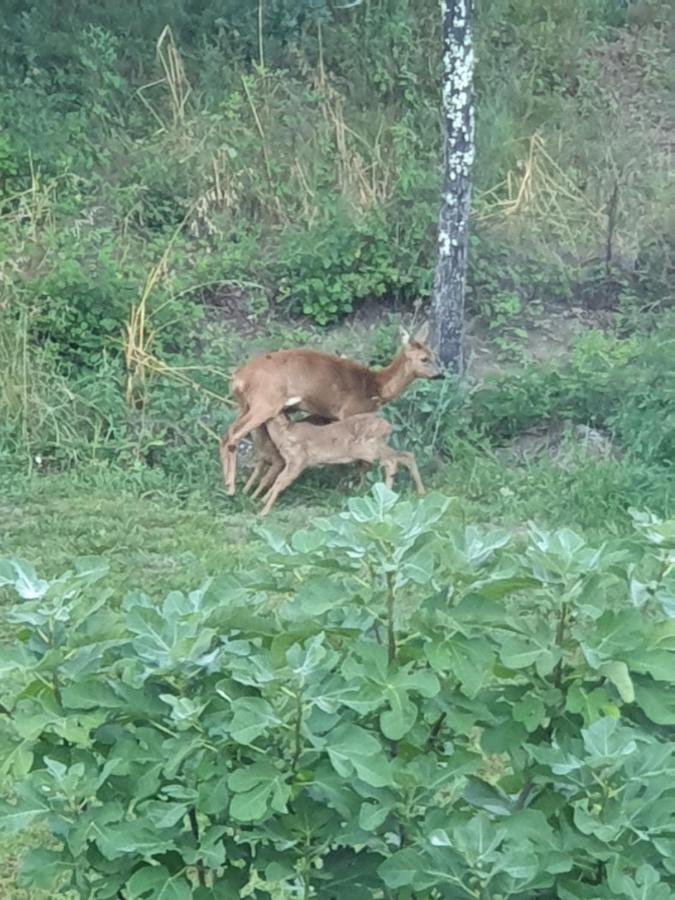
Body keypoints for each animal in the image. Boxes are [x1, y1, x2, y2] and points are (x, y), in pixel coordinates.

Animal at [222, 322, 440, 492]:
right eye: (424, 359)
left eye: (433, 355)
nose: (440, 374)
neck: (375, 387)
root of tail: (238, 377)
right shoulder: (351, 412)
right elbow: (360, 459)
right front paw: (356, 486)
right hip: (264, 403)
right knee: (232, 434)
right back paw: (230, 486)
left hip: (246, 405)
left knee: (242, 439)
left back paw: (245, 488)